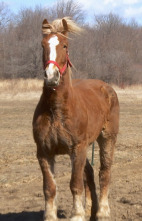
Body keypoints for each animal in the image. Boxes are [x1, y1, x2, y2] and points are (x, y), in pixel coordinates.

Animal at [32, 17, 119, 221]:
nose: (51, 77)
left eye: (65, 45)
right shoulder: (44, 152)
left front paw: (77, 215)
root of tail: (106, 87)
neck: (57, 110)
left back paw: (103, 211)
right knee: (89, 173)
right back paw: (91, 210)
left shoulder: (77, 148)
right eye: (43, 45)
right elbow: (50, 187)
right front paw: (51, 215)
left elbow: (75, 183)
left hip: (107, 138)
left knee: (104, 172)